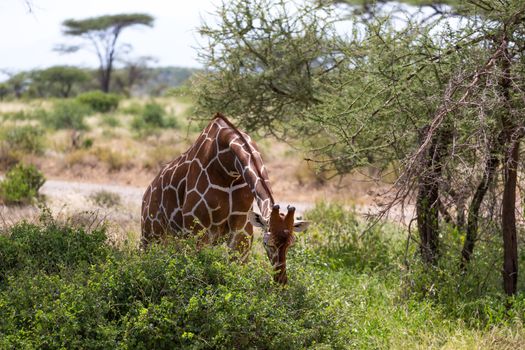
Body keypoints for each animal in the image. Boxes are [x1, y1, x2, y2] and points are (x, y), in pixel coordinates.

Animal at [141, 113, 310, 284]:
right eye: (267, 243)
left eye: (291, 244)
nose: (281, 280)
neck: (228, 167)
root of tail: (147, 193)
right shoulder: (198, 230)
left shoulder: (242, 232)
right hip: (151, 234)